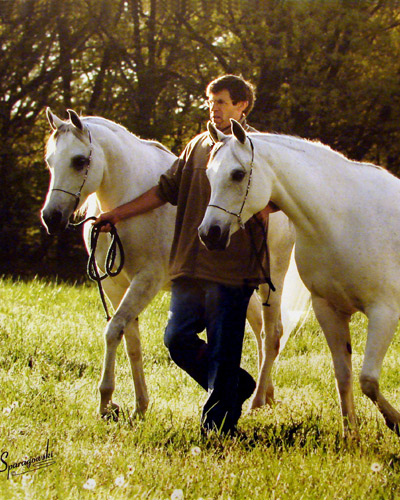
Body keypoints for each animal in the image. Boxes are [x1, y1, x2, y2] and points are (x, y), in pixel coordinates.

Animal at [41, 108, 310, 418]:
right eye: (50, 161)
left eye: (79, 160)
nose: (51, 217)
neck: (126, 205)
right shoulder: (114, 286)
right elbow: (130, 341)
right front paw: (139, 406)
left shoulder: (146, 280)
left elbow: (112, 331)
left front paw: (106, 402)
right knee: (259, 330)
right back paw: (266, 395)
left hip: (272, 281)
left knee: (272, 335)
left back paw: (256, 402)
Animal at [200, 119, 400, 436]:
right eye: (209, 173)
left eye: (238, 174)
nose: (210, 233)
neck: (341, 221)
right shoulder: (328, 310)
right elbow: (343, 375)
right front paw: (351, 436)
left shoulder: (384, 313)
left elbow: (368, 380)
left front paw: (395, 422)